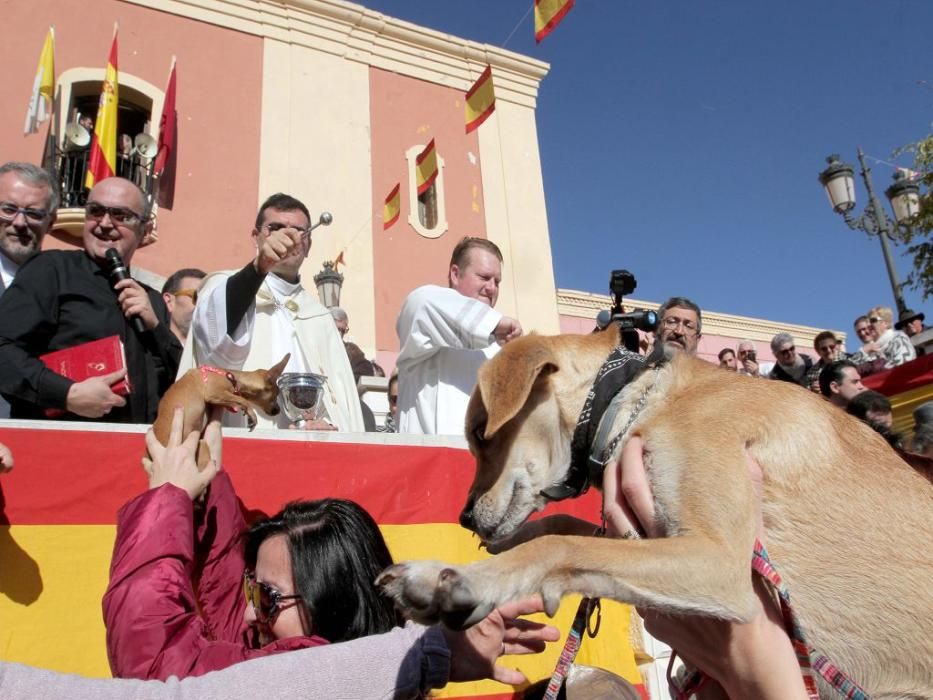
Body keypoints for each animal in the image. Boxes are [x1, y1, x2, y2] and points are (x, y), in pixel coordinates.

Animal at [151, 352, 290, 468]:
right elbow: (242, 400)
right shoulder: (214, 393)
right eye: (276, 395)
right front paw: (251, 414)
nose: (278, 410)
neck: (232, 378)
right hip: (202, 446)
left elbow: (237, 400)